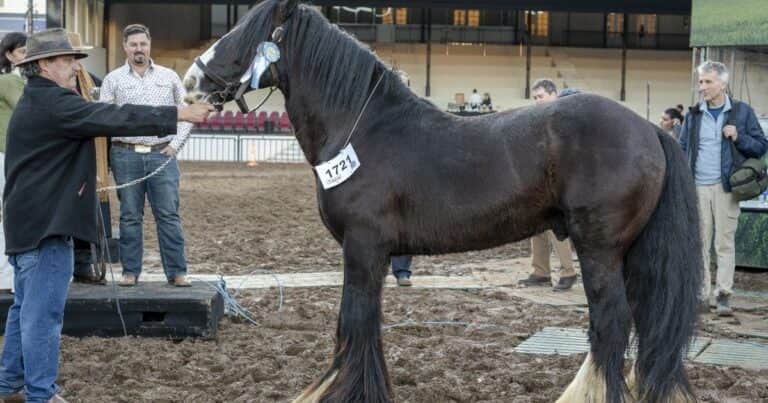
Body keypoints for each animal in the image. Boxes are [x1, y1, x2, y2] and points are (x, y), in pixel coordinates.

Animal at [183, 1, 702, 402]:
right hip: (630, 253)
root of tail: (649, 128)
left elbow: (354, 320)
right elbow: (363, 322)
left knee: (610, 325)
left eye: (242, 34)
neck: (365, 128)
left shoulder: (363, 247)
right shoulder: (373, 253)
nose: (191, 82)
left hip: (599, 249)